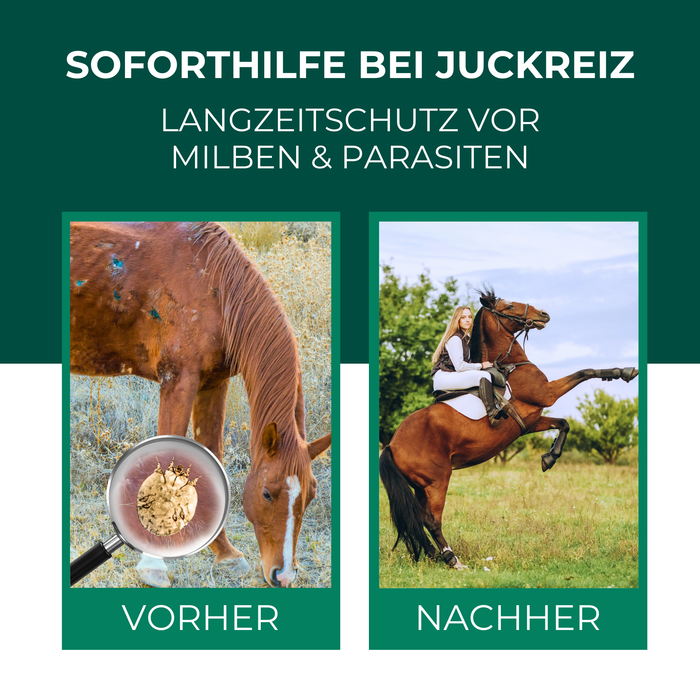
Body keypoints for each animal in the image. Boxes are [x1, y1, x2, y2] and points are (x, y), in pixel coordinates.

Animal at [70, 221, 331, 587]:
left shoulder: (213, 385)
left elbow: (212, 454)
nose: (283, 575)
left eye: (311, 495)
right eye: (267, 493)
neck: (215, 287)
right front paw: (154, 563)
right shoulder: (178, 382)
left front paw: (225, 553)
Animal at [379, 286, 638, 570]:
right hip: (437, 481)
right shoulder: (547, 394)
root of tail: (392, 444)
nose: (544, 314)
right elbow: (584, 372)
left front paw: (549, 458)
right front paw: (624, 371)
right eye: (510, 306)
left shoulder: (530, 421)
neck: (511, 364)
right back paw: (453, 559)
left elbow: (563, 423)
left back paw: (435, 556)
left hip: (420, 486)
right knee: (431, 519)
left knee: (417, 518)